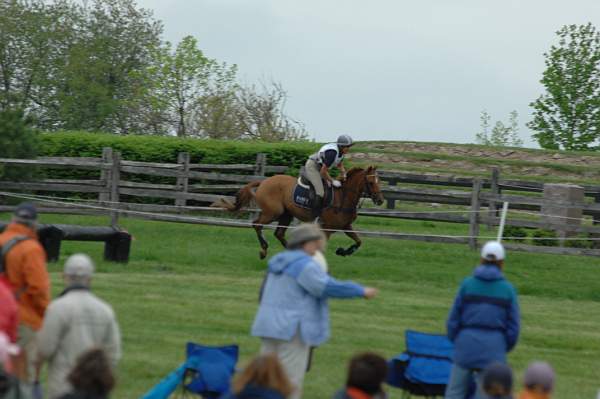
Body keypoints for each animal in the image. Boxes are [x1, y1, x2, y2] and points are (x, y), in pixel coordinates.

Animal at [216, 166, 384, 260]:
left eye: (379, 181)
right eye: (370, 183)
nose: (380, 200)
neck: (343, 197)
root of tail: (264, 181)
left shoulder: (346, 226)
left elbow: (358, 241)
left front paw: (343, 251)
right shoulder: (326, 228)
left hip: (286, 215)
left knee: (279, 233)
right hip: (273, 213)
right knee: (257, 224)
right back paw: (264, 249)